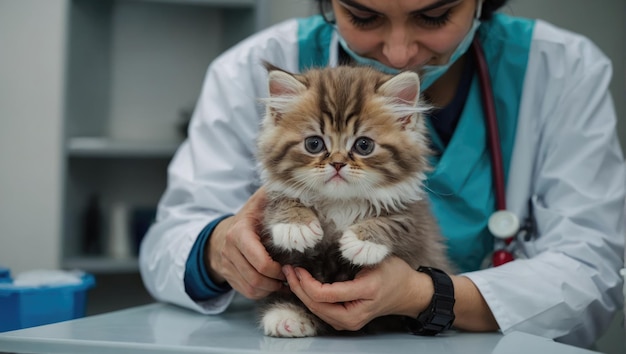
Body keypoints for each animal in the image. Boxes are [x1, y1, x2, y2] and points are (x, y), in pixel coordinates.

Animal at [256, 63, 450, 338]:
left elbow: (397, 221)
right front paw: (295, 226)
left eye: (364, 145)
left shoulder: (416, 219)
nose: (337, 163)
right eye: (314, 144)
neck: (341, 203)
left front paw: (362, 242)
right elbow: (284, 201)